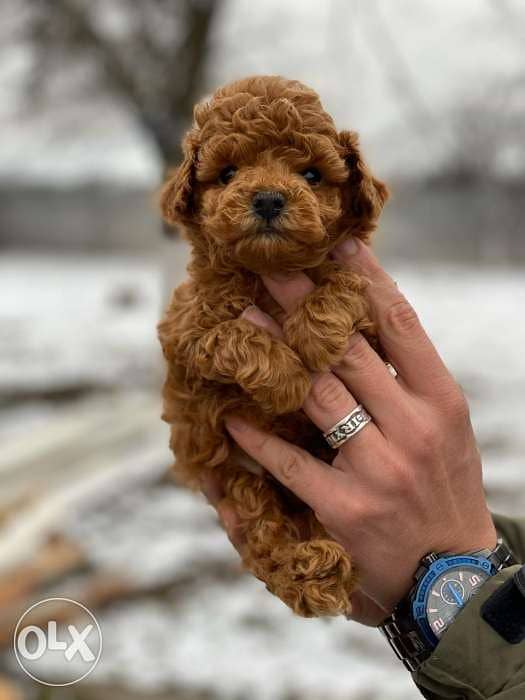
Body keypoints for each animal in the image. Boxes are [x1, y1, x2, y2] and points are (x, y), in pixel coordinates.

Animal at [158, 74, 386, 616]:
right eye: (227, 173)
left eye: (311, 174)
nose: (266, 199)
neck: (268, 273)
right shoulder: (184, 330)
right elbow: (229, 333)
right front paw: (286, 378)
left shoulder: (372, 322)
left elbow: (345, 283)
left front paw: (314, 334)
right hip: (243, 478)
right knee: (264, 532)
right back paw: (311, 570)